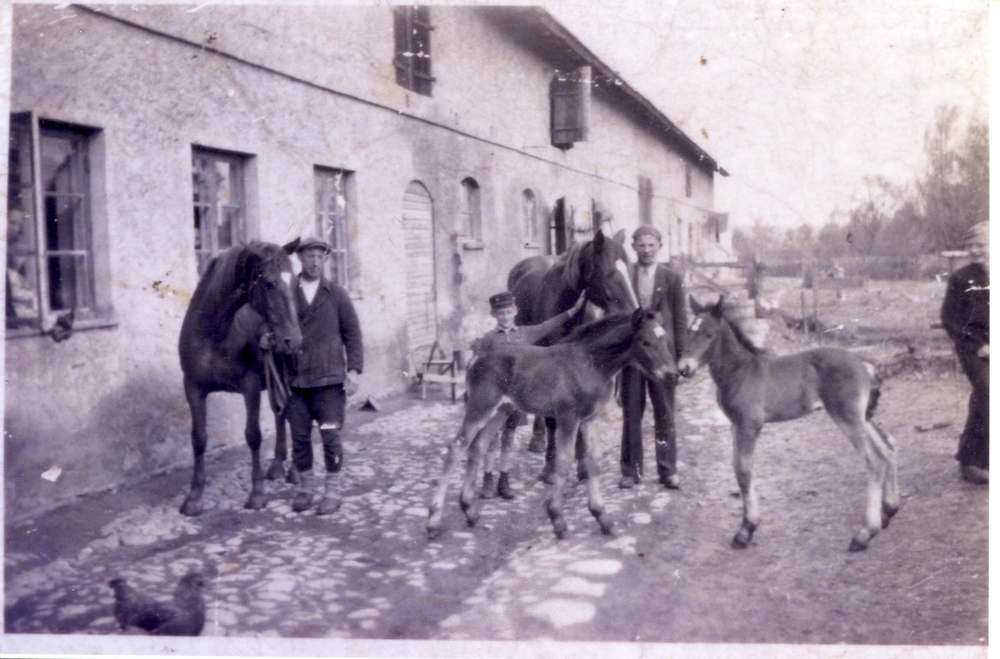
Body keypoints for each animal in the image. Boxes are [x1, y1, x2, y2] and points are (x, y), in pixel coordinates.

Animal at [177, 241, 300, 516]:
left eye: (295, 282)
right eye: (269, 284)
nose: (293, 340)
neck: (214, 333)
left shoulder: (250, 387)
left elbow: (253, 436)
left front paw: (257, 495)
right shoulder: (193, 387)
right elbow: (198, 438)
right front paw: (194, 497)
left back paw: (296, 471)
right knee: (281, 413)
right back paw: (278, 465)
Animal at [428, 310, 672, 540]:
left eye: (665, 339)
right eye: (645, 342)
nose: (671, 374)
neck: (590, 362)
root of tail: (476, 359)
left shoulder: (590, 419)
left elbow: (592, 462)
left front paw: (603, 518)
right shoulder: (568, 417)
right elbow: (563, 461)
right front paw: (557, 519)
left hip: (501, 410)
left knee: (477, 447)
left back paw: (469, 510)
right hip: (481, 406)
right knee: (455, 449)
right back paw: (434, 521)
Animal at [508, 231, 640, 474]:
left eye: (628, 269)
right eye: (609, 273)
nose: (635, 313)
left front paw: (582, 463)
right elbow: (553, 419)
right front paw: (551, 465)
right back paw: (538, 439)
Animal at [688, 298, 900, 552]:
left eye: (709, 334)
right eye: (688, 331)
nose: (684, 368)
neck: (741, 370)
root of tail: (863, 363)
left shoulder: (749, 425)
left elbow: (744, 471)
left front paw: (746, 530)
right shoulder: (734, 425)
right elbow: (737, 468)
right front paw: (746, 528)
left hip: (846, 416)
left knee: (874, 458)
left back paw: (864, 533)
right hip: (861, 416)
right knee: (887, 446)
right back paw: (889, 510)